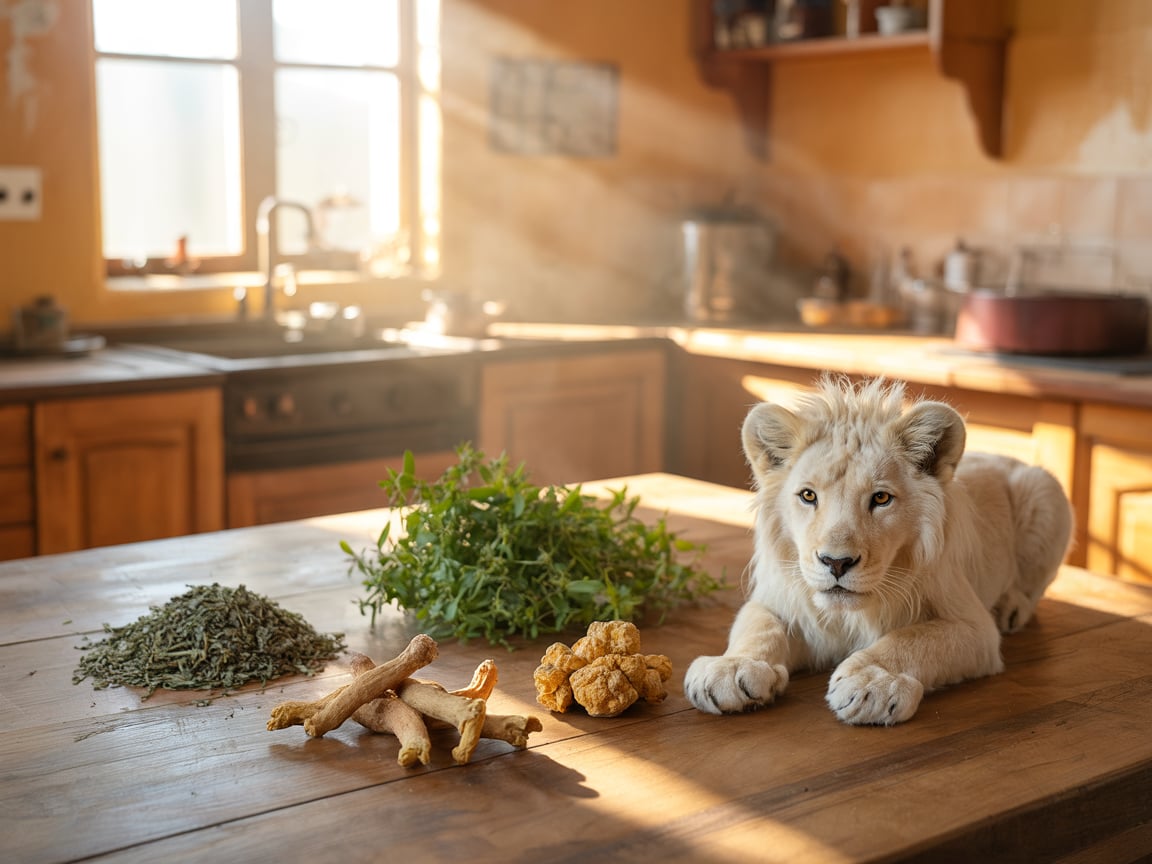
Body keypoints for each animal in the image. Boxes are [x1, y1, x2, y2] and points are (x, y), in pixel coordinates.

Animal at [684, 376, 1074, 725]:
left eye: (881, 498)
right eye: (808, 495)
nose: (836, 562)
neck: (848, 616)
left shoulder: (973, 626)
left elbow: (911, 639)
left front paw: (871, 682)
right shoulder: (780, 600)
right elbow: (757, 626)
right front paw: (733, 668)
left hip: (1044, 491)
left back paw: (1010, 608)